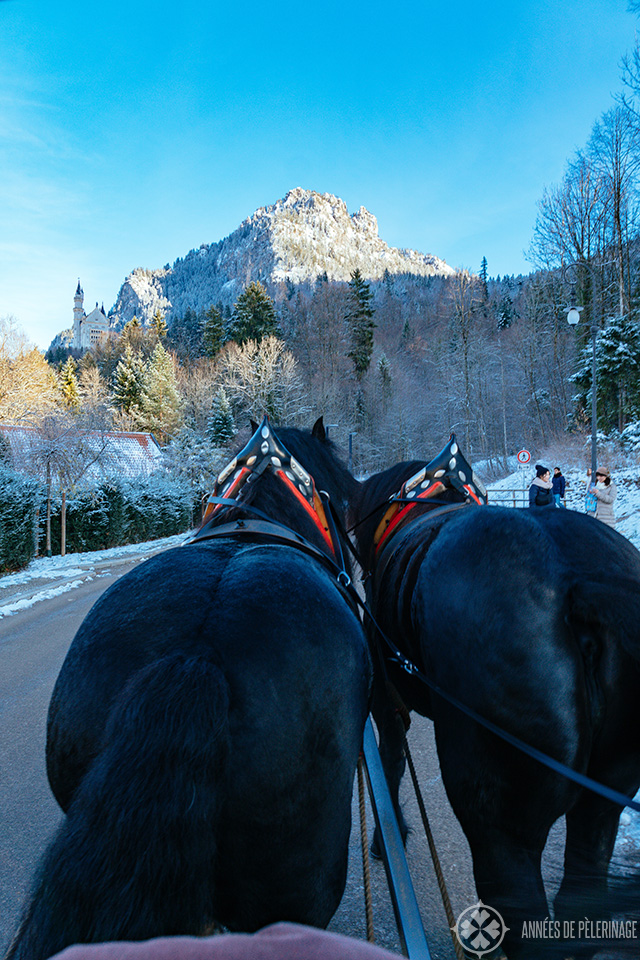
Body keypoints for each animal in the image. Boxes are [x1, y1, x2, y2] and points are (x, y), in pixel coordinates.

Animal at [352, 436, 640, 960]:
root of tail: (580, 582)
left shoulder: (385, 698)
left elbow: (391, 759)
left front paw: (390, 834)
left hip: (499, 818)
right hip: (606, 793)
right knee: (582, 897)